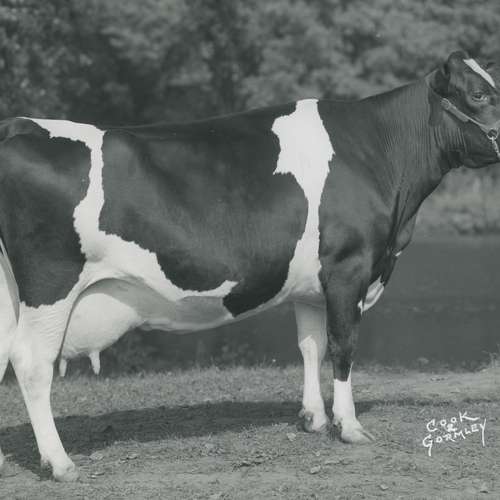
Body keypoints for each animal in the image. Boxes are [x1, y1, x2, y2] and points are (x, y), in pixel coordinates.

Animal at [0, 50, 499, 482]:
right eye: (478, 94)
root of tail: (21, 125)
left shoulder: (312, 286)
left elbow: (311, 346)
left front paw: (313, 418)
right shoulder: (348, 267)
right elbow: (343, 347)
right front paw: (350, 427)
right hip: (51, 285)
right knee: (32, 362)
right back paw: (60, 463)